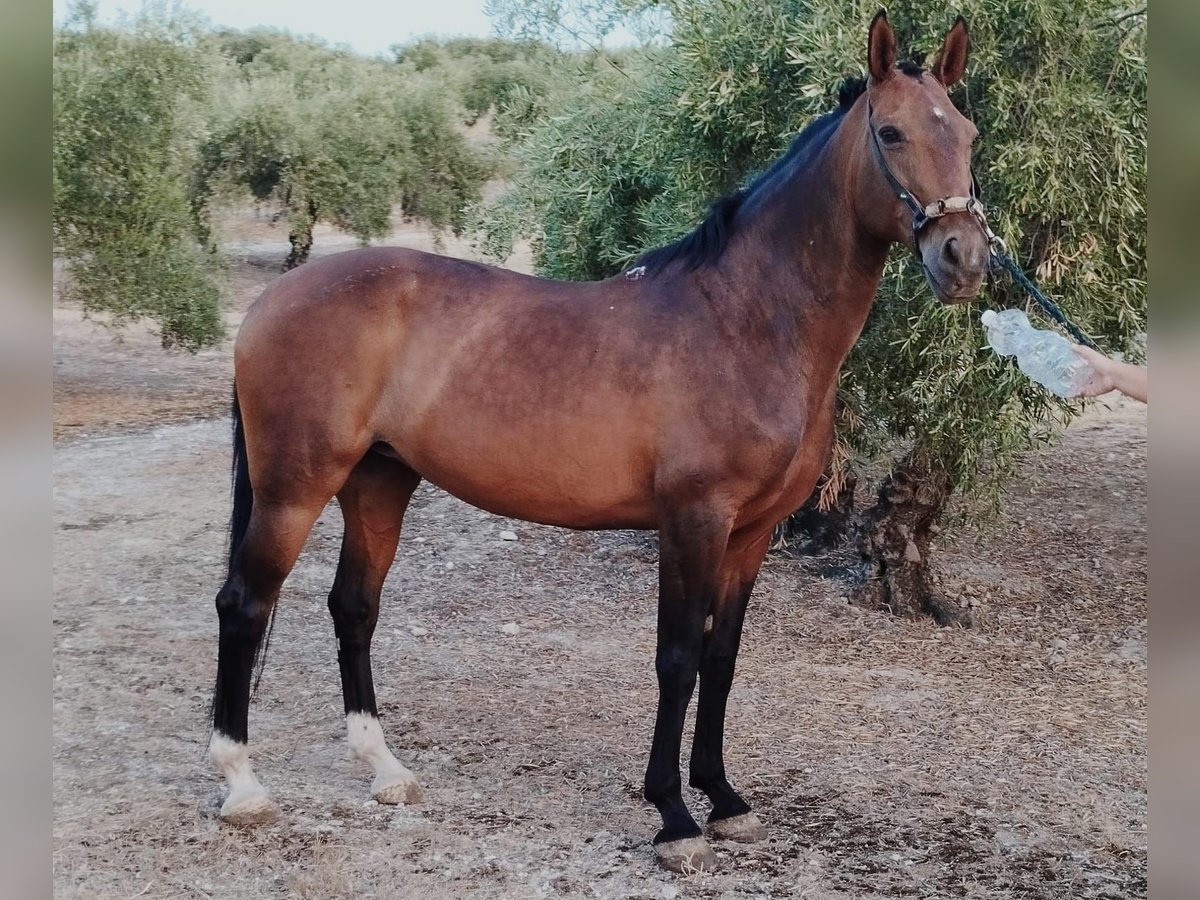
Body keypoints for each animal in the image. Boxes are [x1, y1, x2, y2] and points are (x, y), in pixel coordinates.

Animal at [211, 12, 988, 873]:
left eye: (970, 135)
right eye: (891, 133)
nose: (965, 258)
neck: (745, 321)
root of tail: (273, 299)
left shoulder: (750, 533)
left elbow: (722, 659)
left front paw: (725, 800)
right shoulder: (693, 520)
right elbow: (676, 659)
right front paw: (674, 817)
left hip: (378, 482)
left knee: (353, 607)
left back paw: (386, 770)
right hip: (294, 488)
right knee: (244, 604)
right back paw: (242, 786)